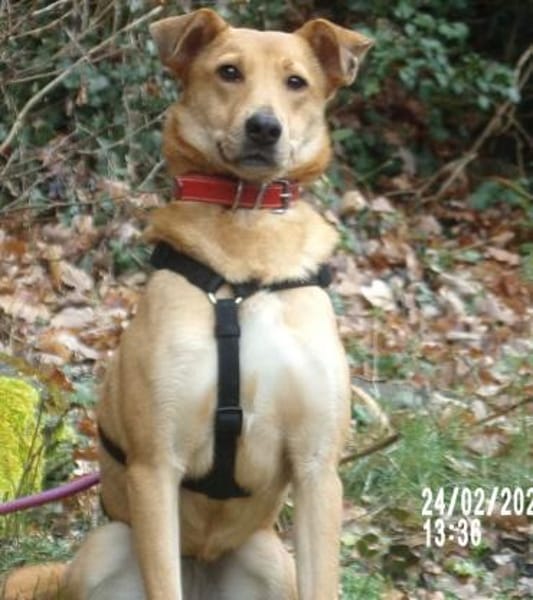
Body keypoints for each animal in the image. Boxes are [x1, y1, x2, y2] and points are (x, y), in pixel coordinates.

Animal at [2, 9, 371, 599]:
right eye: (228, 72)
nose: (264, 127)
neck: (247, 249)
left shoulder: (318, 471)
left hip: (271, 557)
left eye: (297, 82)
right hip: (108, 545)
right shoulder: (156, 467)